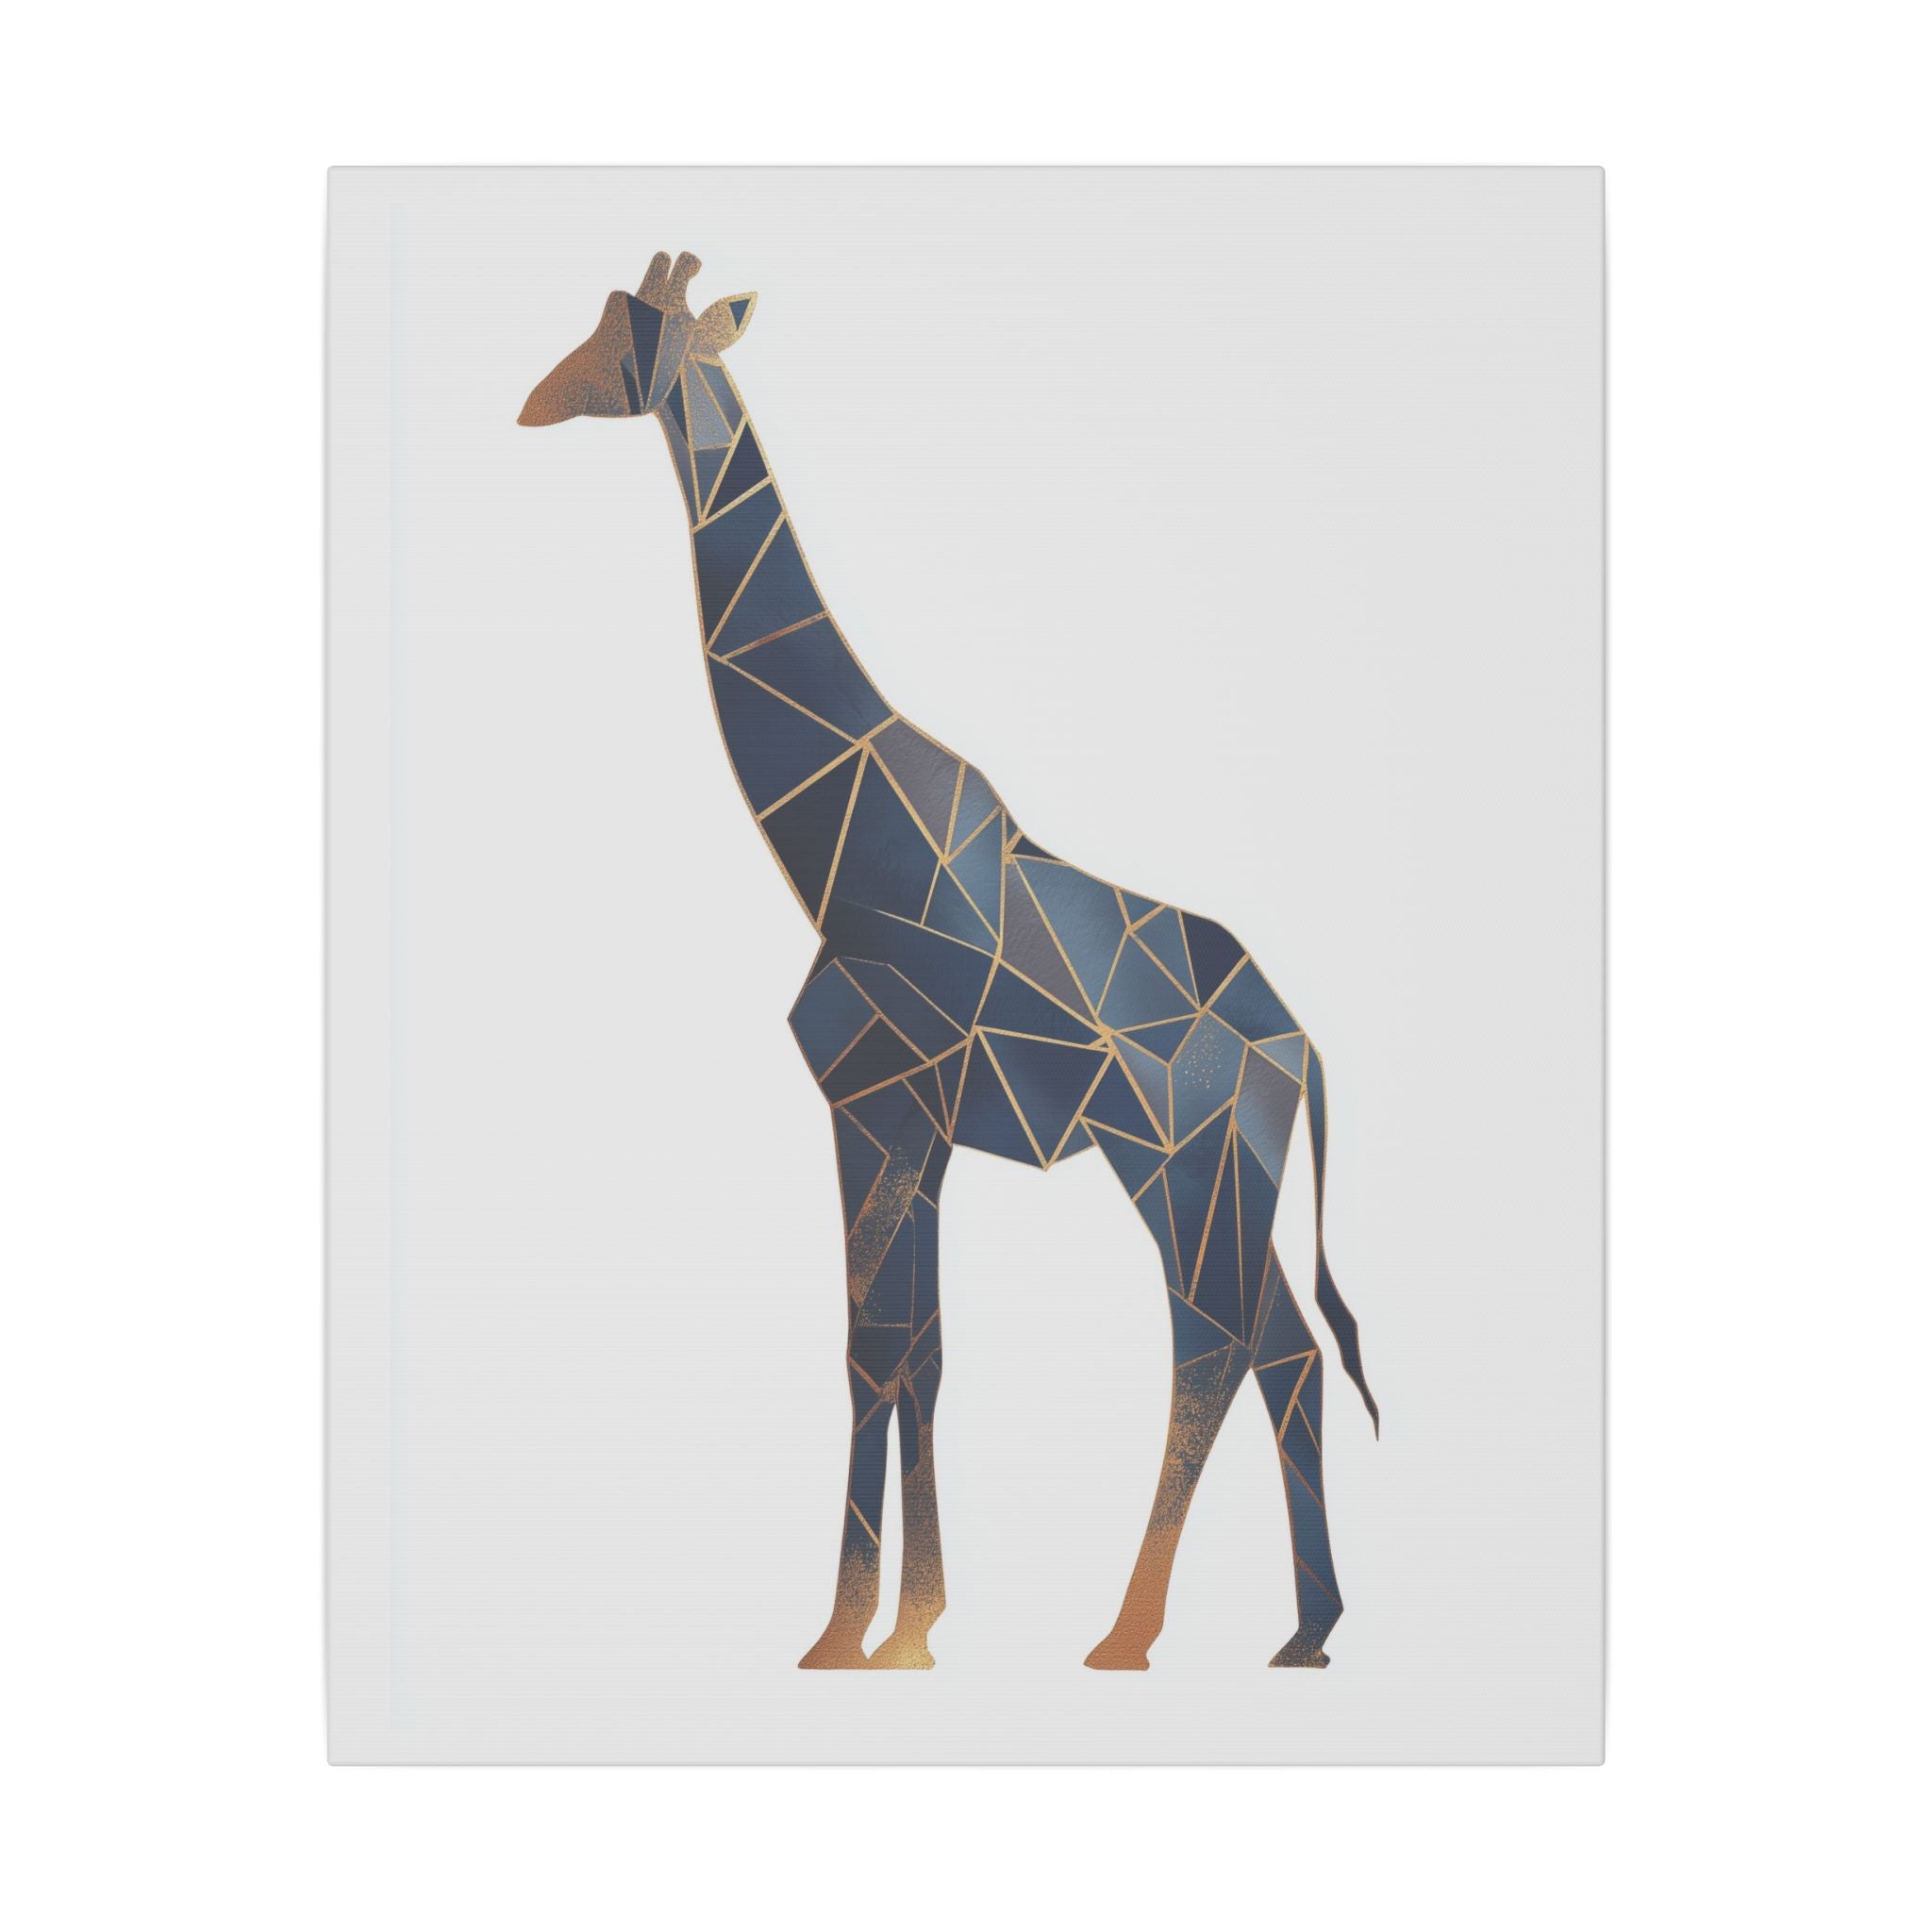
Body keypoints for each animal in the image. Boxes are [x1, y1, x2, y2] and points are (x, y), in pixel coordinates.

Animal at [520, 250, 1379, 1673]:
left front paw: (854, 1633)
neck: (838, 848)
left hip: (1178, 1164)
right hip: (1221, 1175)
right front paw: (901, 1626)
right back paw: (1303, 1631)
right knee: (1284, 1351)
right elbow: (915, 1351)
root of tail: (1299, 1044)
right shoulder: (910, 1127)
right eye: (598, 320)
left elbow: (874, 1351)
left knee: (1215, 1345)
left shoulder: (874, 1104)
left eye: (633, 336)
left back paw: (1130, 1634)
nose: (534, 400)